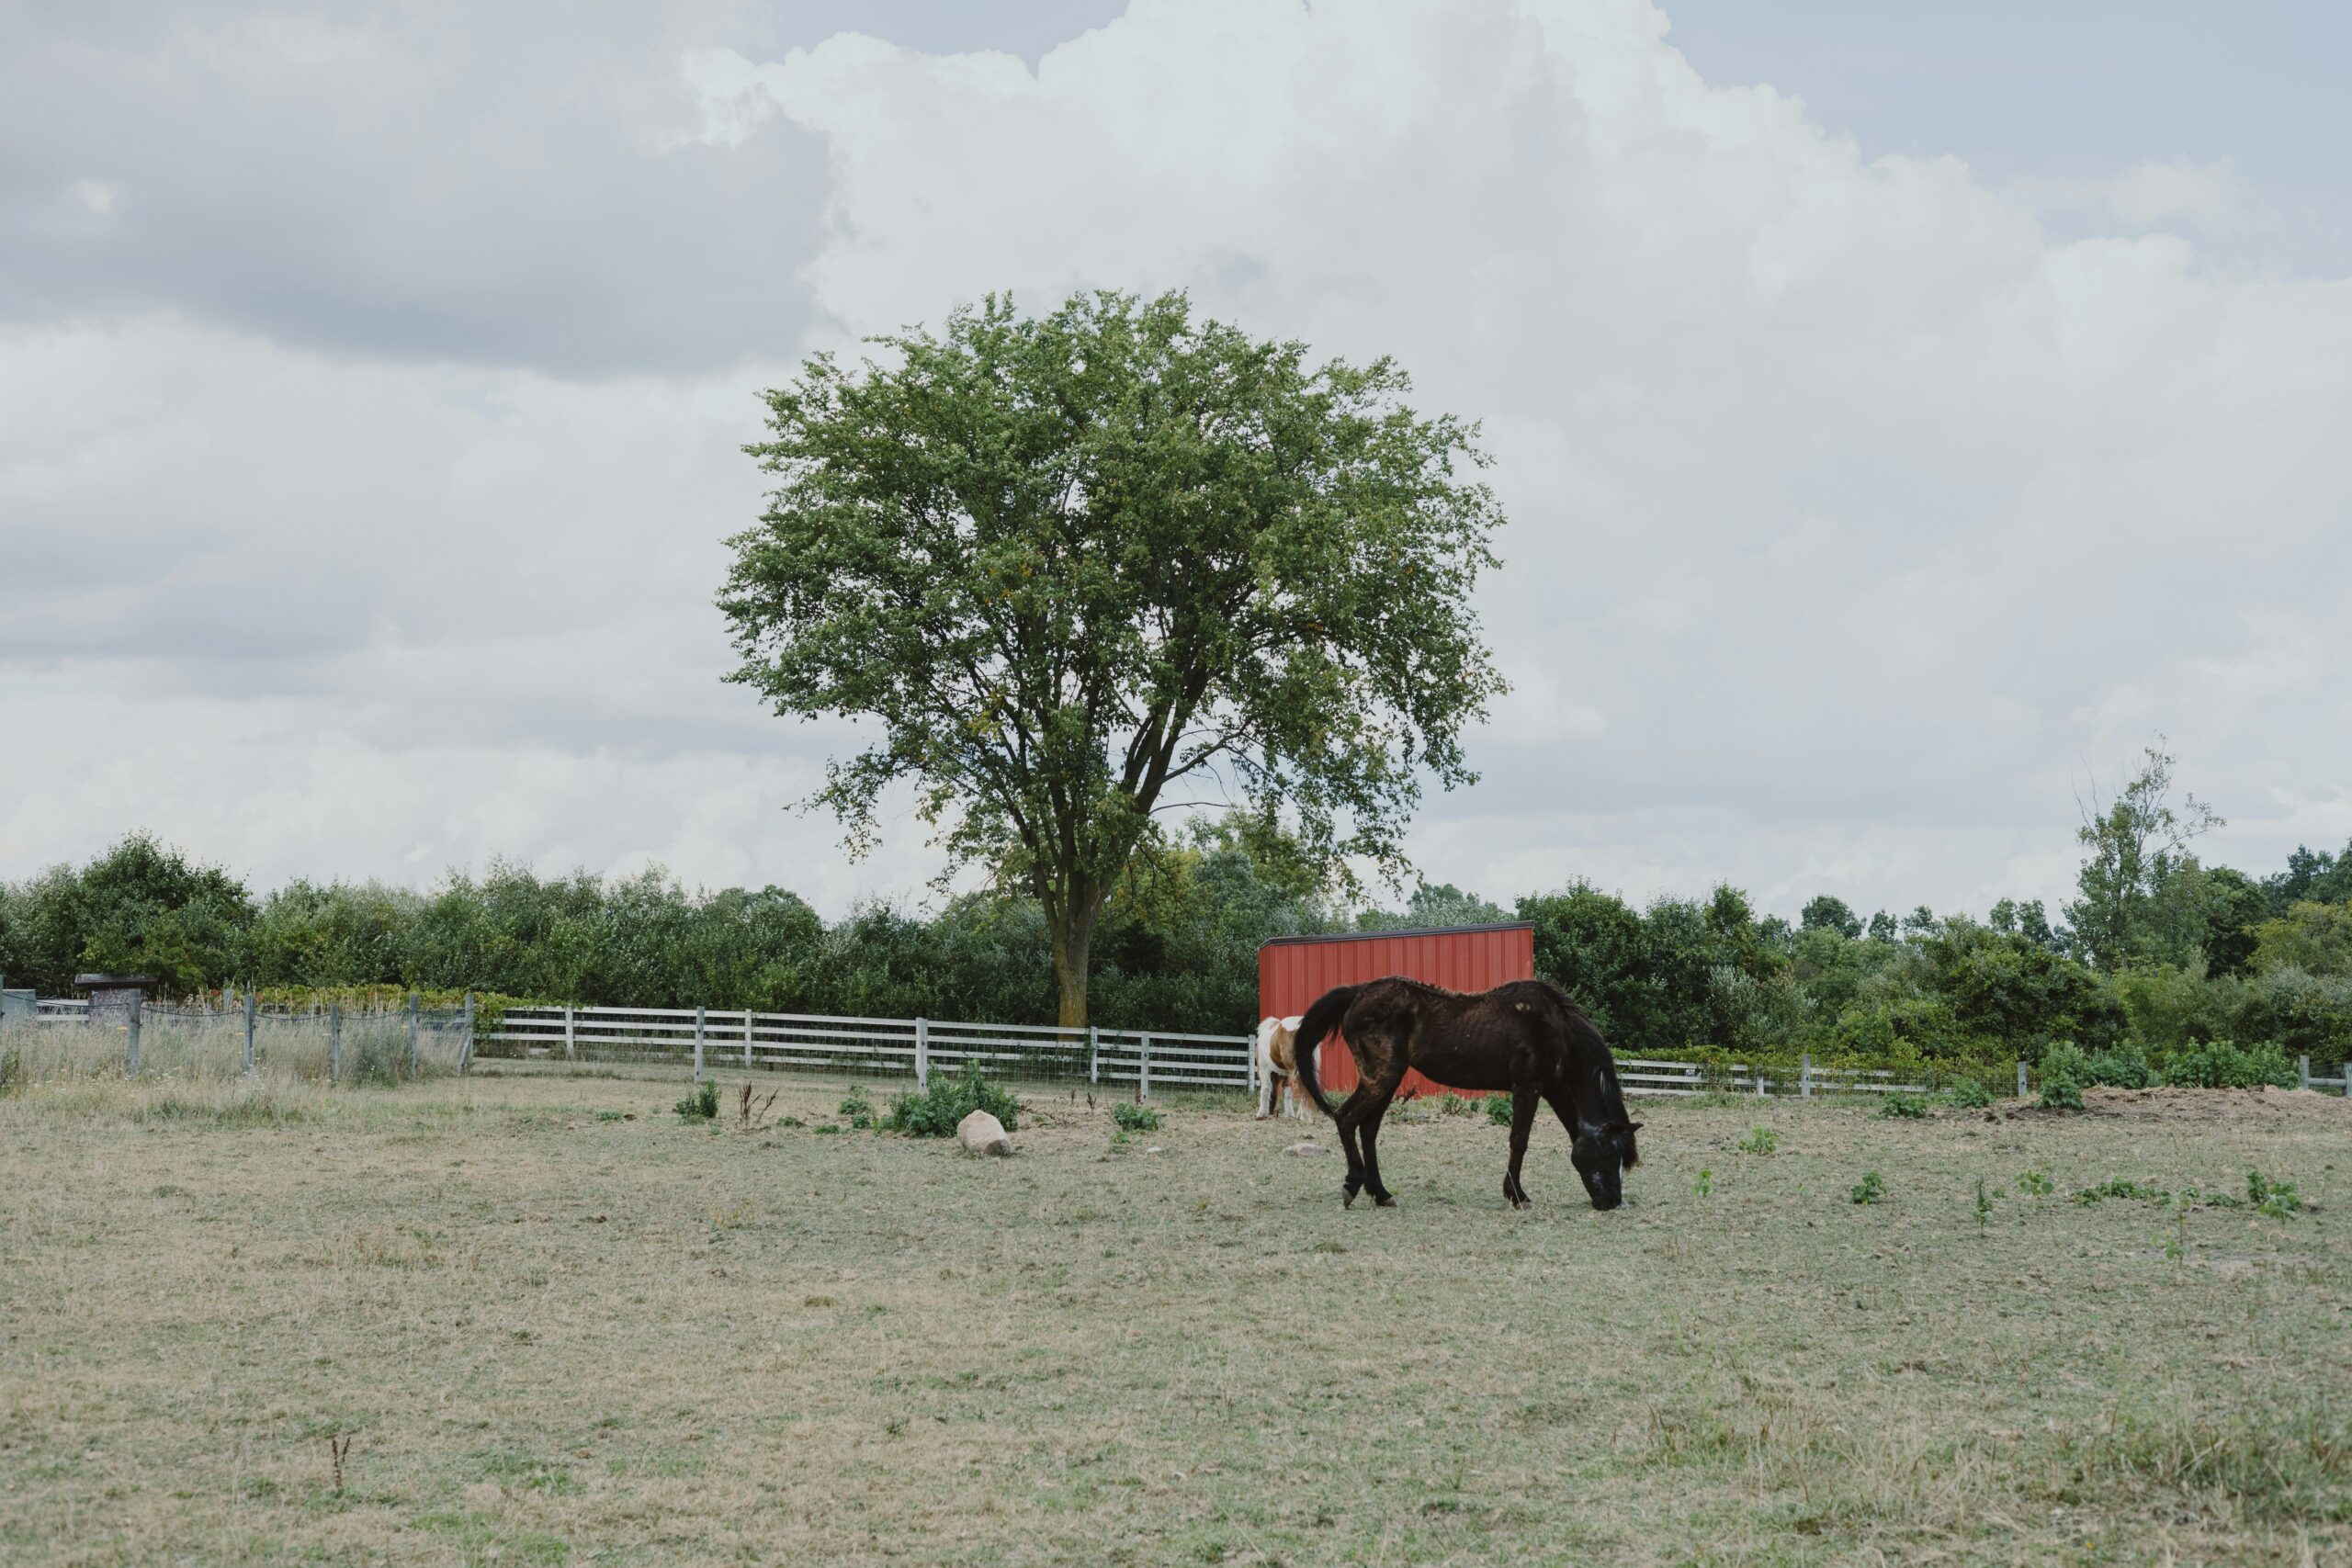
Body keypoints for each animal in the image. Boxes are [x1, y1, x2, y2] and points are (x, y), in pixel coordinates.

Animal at [1292, 976, 1642, 1211]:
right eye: (1610, 1153)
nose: (1613, 1201)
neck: (1554, 1027)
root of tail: (1358, 991)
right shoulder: (1528, 1087)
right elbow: (1519, 1141)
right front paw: (1517, 1195)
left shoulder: (1553, 1090)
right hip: (1380, 1078)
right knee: (1346, 1118)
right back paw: (1353, 1184)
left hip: (1387, 1081)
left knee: (1368, 1129)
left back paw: (1382, 1193)